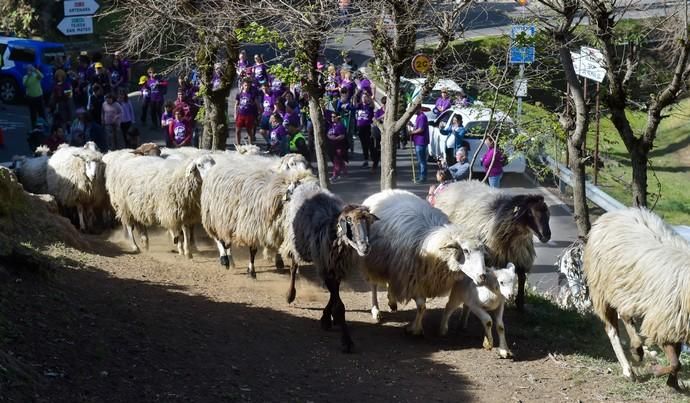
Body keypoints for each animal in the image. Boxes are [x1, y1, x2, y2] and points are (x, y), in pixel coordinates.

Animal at [278, 181, 376, 352]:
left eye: (369, 223)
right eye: (349, 221)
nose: (365, 247)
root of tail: (304, 184)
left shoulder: (335, 267)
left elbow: (334, 294)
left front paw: (327, 318)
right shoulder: (325, 265)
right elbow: (339, 306)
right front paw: (346, 341)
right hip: (296, 241)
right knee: (293, 267)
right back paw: (290, 295)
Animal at [360, 191, 484, 336]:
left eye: (483, 251)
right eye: (465, 251)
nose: (483, 276)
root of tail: (381, 193)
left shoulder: (419, 279)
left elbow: (422, 307)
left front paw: (415, 327)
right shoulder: (412, 280)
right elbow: (422, 307)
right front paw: (415, 329)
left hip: (392, 265)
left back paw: (392, 301)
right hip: (373, 262)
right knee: (373, 285)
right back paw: (376, 310)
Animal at [432, 181, 552, 312]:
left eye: (547, 213)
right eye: (530, 213)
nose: (547, 235)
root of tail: (454, 183)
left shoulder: (520, 256)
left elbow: (522, 278)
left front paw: (520, 304)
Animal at [580, 207, 688, 390]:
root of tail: (611, 215)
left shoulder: (674, 325)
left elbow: (677, 359)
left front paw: (672, 383)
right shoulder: (662, 321)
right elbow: (676, 363)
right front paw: (657, 372)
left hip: (626, 290)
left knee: (625, 315)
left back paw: (637, 350)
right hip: (603, 287)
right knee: (612, 329)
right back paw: (629, 368)